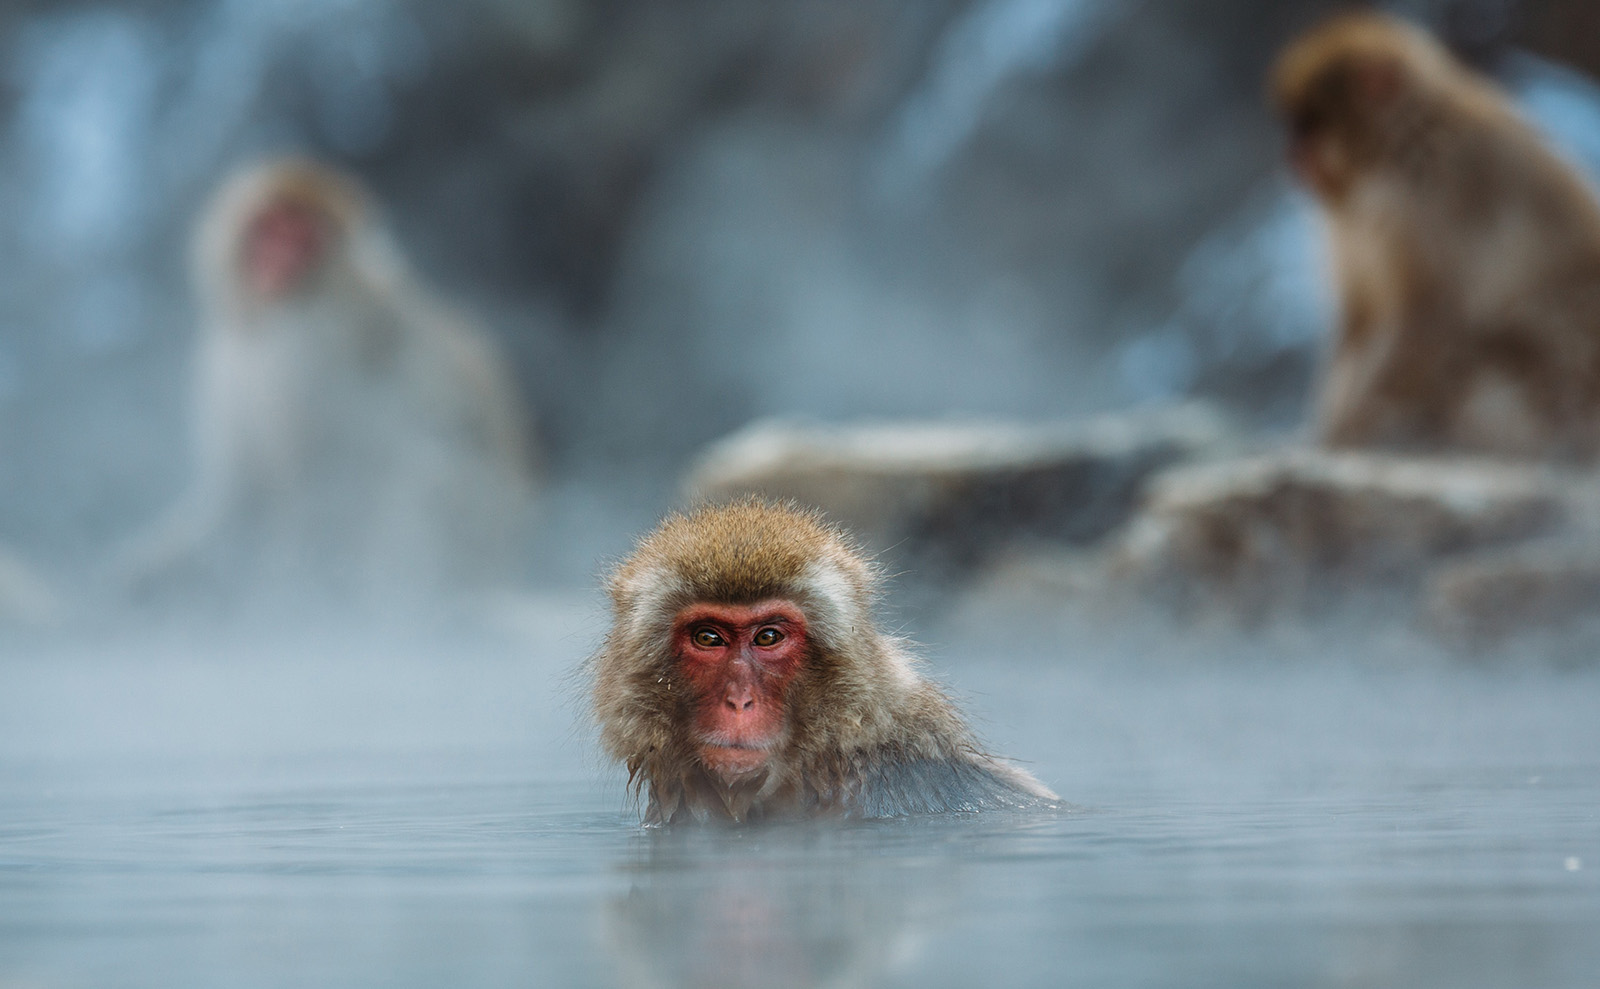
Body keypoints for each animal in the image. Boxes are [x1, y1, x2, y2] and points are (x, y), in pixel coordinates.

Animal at [113, 157, 535, 607]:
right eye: (269, 227)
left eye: (304, 239)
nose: (276, 262)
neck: (269, 321)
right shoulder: (225, 360)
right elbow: (242, 496)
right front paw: (143, 570)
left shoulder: (310, 352)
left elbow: (319, 481)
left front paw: (289, 587)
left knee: (421, 468)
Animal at [1272, 13, 1600, 460]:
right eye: (1296, 125)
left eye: (1310, 123)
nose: (1292, 153)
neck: (1396, 150)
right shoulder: (1352, 224)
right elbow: (1360, 319)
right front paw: (1330, 427)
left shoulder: (1436, 201)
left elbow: (1432, 321)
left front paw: (1347, 431)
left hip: (1562, 375)